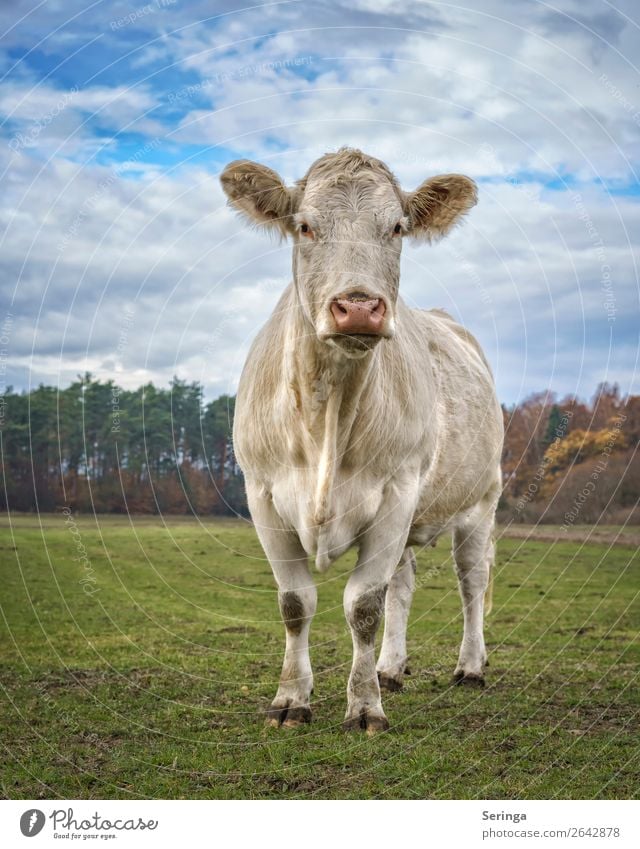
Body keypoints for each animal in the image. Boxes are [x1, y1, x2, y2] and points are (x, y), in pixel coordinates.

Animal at [220, 149, 504, 732]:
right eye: (304, 226)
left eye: (396, 228)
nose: (357, 307)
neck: (327, 415)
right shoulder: (262, 494)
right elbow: (296, 603)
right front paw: (292, 699)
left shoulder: (397, 493)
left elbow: (363, 605)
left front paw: (364, 706)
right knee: (405, 583)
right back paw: (390, 668)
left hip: (482, 499)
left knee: (471, 581)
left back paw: (469, 667)